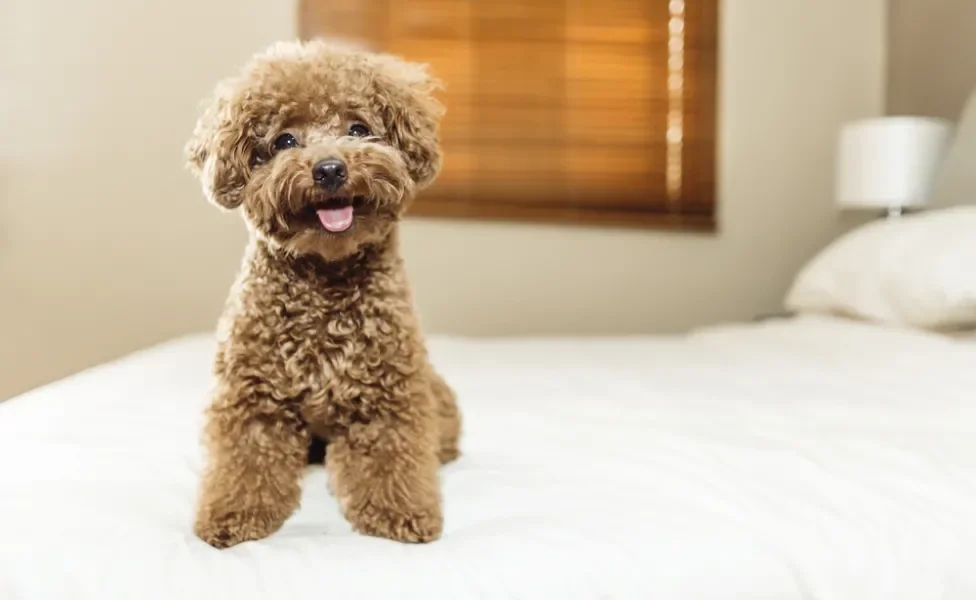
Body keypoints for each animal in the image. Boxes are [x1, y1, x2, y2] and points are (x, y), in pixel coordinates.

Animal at [186, 39, 462, 552]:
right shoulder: (252, 400)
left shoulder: (390, 400)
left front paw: (400, 514)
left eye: (358, 129)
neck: (324, 282)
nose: (330, 168)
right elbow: (244, 464)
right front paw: (232, 516)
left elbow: (392, 461)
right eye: (283, 141)